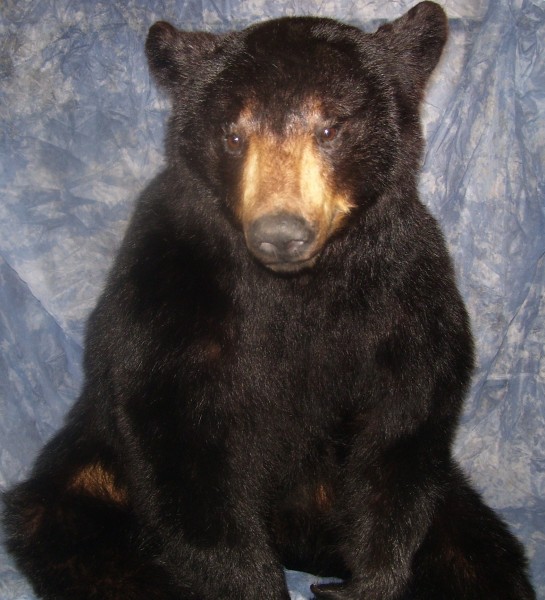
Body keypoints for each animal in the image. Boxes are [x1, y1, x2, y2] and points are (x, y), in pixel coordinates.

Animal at [1, 2, 536, 596]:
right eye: (234, 136)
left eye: (330, 127)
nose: (280, 233)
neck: (295, 287)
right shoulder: (169, 285)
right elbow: (178, 440)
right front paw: (251, 583)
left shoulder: (405, 285)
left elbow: (407, 419)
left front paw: (371, 581)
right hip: (92, 472)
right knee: (75, 532)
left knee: (478, 553)